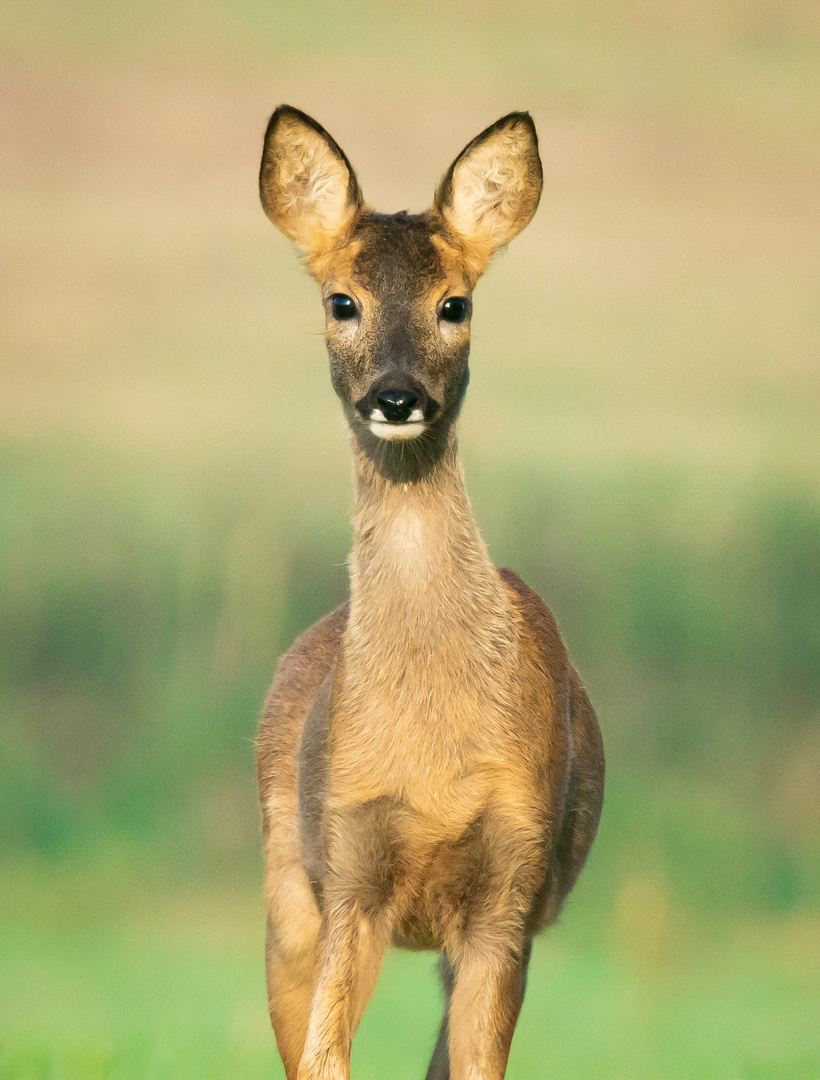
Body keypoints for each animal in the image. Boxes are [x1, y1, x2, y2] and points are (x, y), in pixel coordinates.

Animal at [254, 107, 605, 1080]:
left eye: (457, 304)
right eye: (341, 301)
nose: (397, 395)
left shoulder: (510, 885)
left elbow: (474, 1063)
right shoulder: (348, 869)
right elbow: (326, 1057)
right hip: (284, 884)